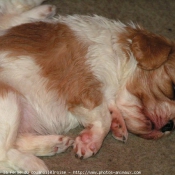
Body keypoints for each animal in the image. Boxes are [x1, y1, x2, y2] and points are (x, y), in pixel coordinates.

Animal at [0, 0, 175, 172]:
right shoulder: (82, 86)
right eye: (173, 87)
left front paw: (117, 123)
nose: (170, 126)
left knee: (15, 143)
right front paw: (91, 141)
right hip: (9, 99)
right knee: (4, 153)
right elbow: (103, 117)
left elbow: (109, 110)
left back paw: (54, 144)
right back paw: (34, 164)